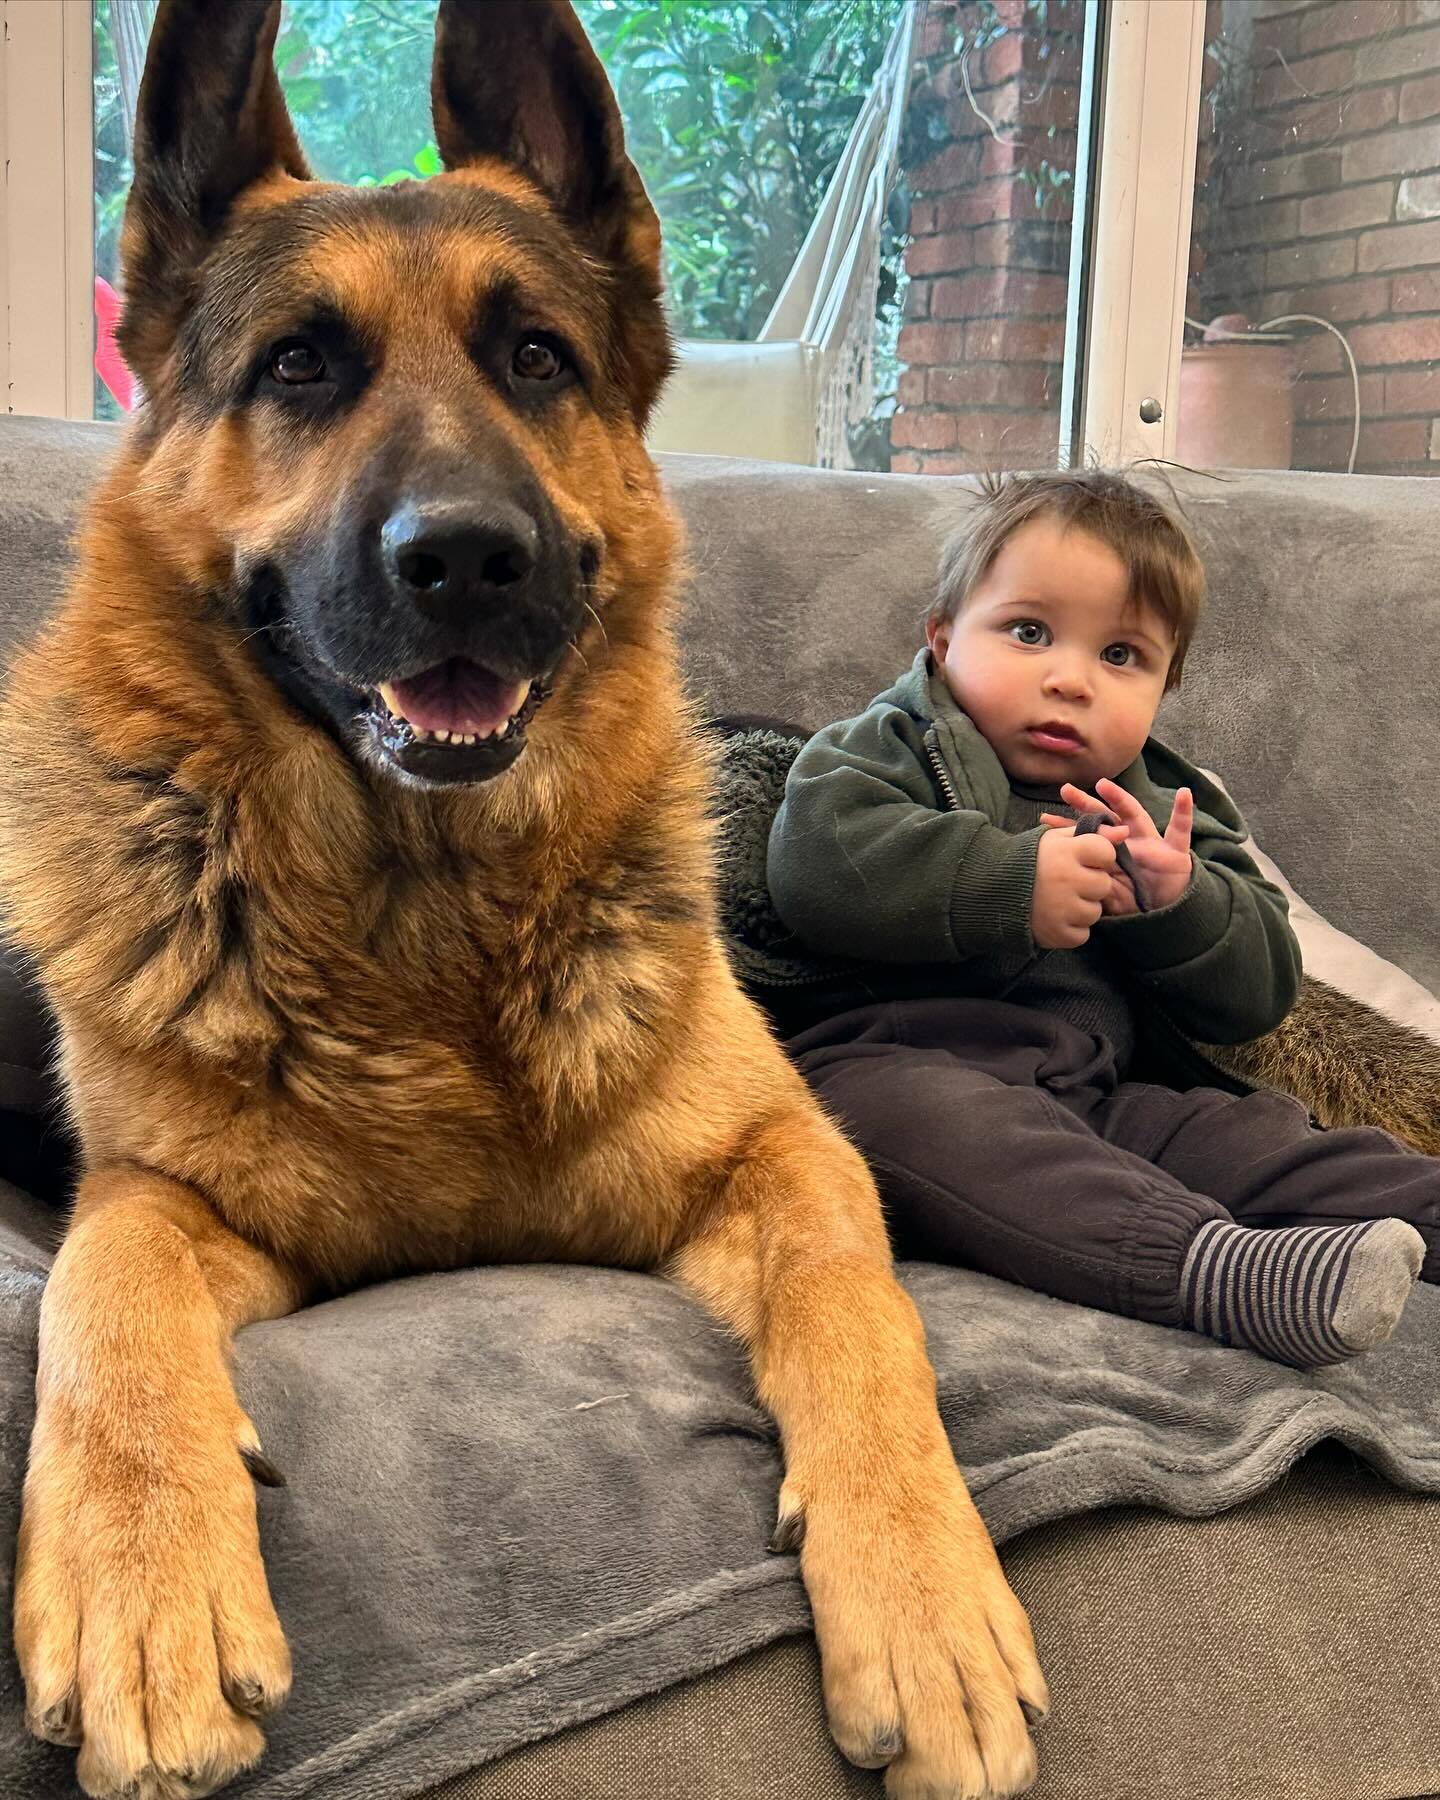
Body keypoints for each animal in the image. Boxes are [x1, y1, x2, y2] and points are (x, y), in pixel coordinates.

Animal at [0, 7, 1044, 1792]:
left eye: (538, 360)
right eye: (299, 366)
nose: (469, 560)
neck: (424, 928)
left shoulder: (783, 1151)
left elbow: (861, 1308)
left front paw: (925, 1592)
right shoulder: (162, 1198)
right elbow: (101, 1287)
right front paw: (145, 1584)